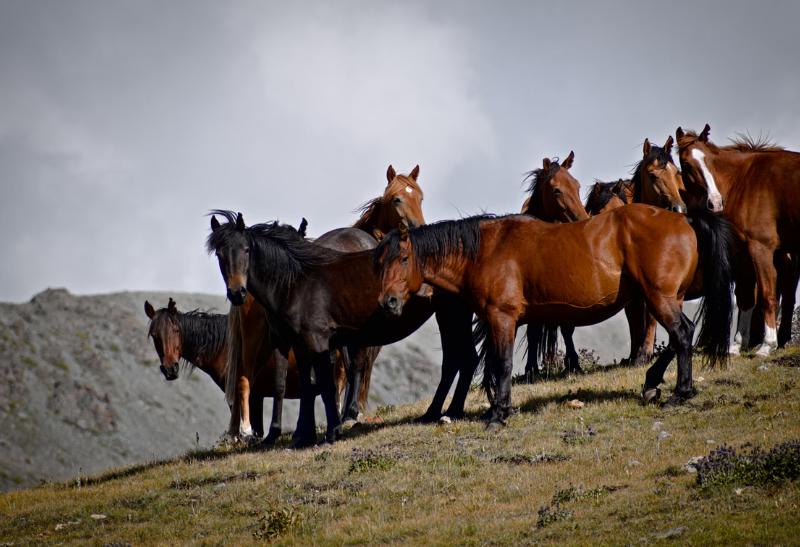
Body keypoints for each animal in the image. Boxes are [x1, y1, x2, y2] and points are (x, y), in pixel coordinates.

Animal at [145, 296, 346, 440]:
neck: (225, 346)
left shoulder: (253, 395)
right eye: (154, 335)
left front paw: (244, 434)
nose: (170, 369)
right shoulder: (256, 396)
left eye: (176, 331)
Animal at [376, 204, 736, 428]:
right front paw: (497, 408)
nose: (388, 302)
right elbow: (494, 364)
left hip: (660, 298)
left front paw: (498, 415)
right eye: (379, 262)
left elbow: (502, 364)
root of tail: (684, 219)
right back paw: (652, 383)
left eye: (404, 258)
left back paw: (680, 393)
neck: (486, 250)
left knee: (682, 334)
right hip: (668, 298)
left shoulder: (502, 317)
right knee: (679, 337)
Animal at [676, 124, 800, 356]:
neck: (744, 181)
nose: (715, 202)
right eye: (686, 164)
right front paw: (737, 343)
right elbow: (746, 298)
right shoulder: (743, 253)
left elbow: (767, 294)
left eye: (710, 161)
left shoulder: (761, 248)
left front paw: (767, 345)